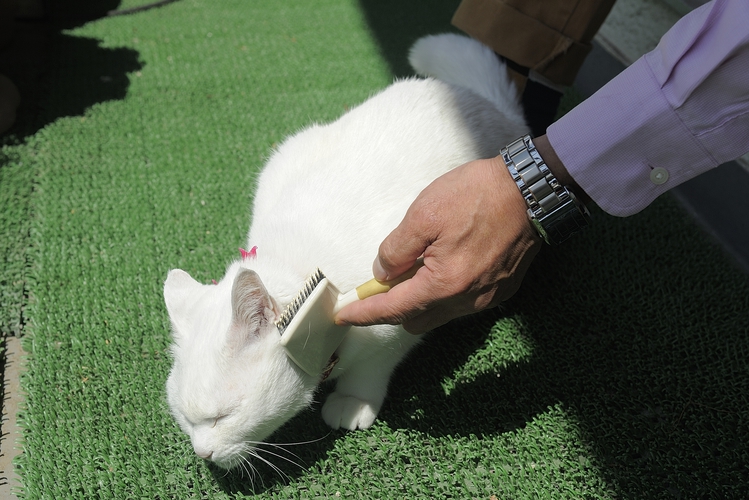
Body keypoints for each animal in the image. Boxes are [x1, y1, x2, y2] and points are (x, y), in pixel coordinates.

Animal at [164, 33, 524, 470]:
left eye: (222, 417)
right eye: (186, 418)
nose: (203, 453)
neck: (303, 271)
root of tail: (484, 101)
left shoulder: (401, 316)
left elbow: (371, 368)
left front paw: (353, 401)